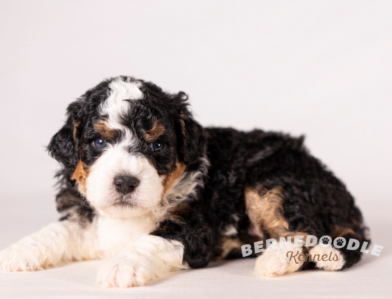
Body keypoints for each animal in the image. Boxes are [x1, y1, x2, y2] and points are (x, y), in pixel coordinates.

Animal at [0, 75, 370, 288]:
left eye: (157, 146)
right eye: (99, 142)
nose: (125, 183)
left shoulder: (194, 229)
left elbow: (151, 240)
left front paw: (121, 265)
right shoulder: (85, 216)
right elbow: (57, 231)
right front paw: (18, 252)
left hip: (273, 180)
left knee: (307, 230)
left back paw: (275, 260)